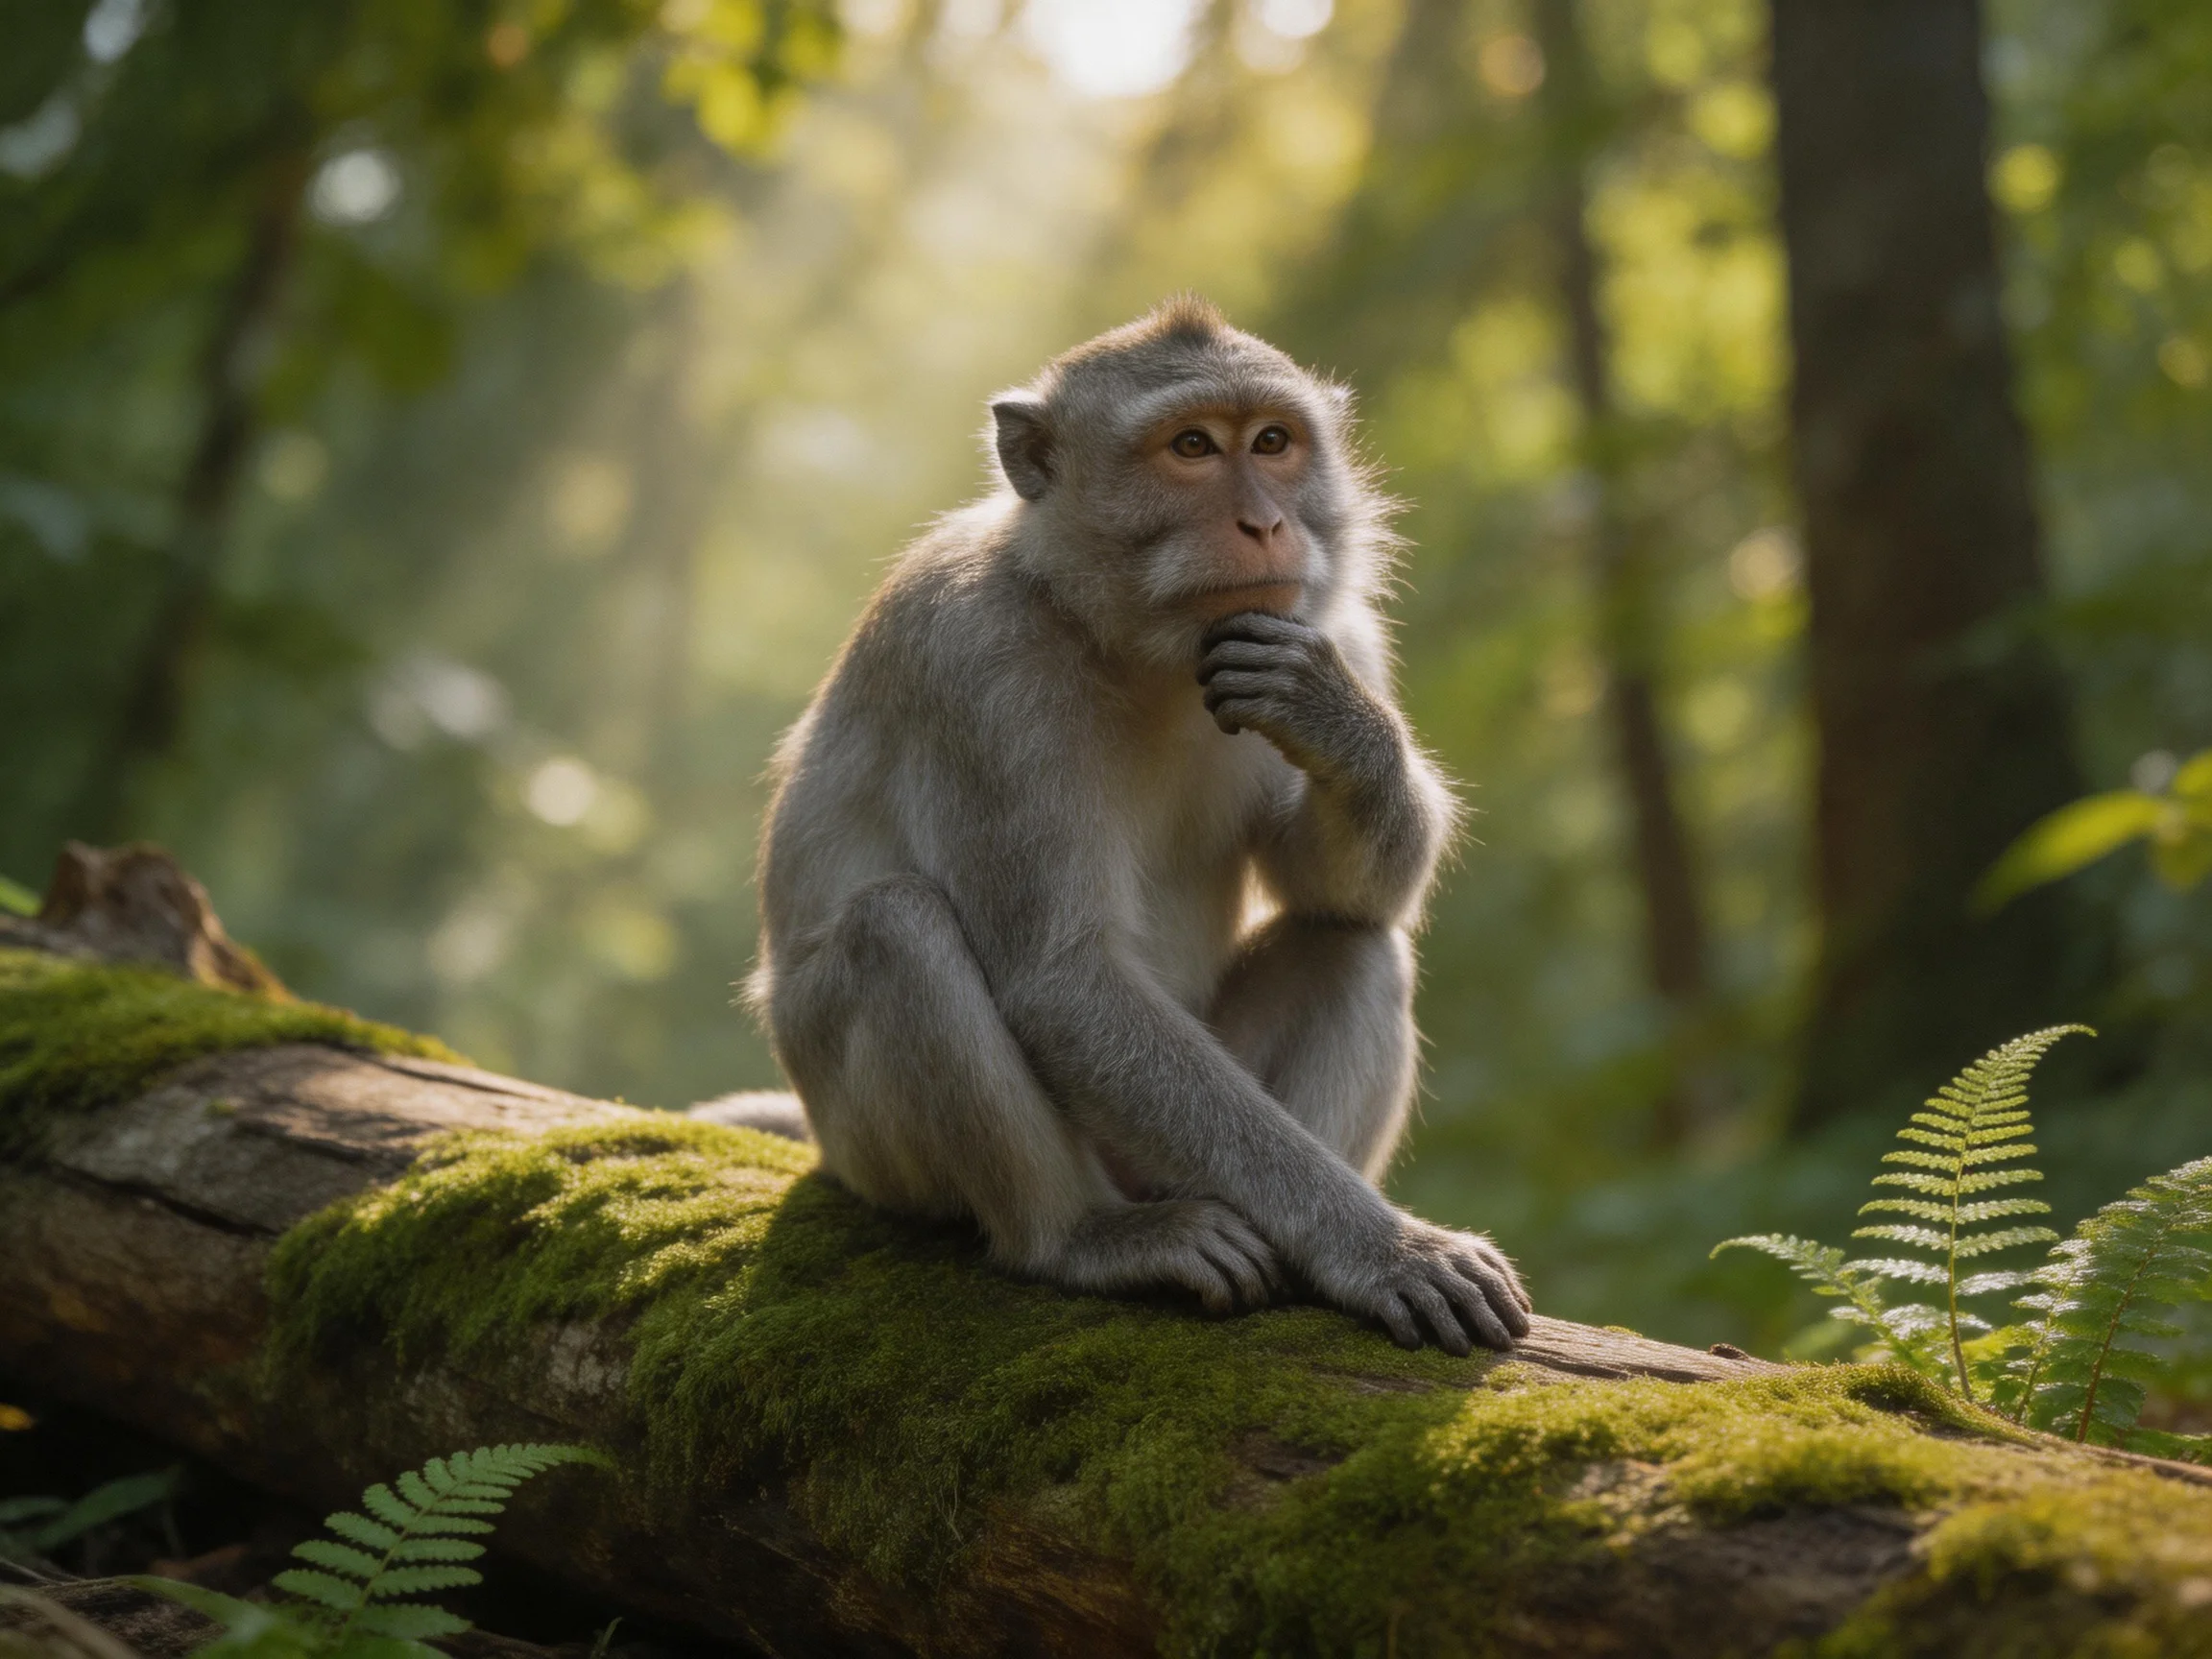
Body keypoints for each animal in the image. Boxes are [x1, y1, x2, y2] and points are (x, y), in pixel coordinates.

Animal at [746, 298, 1530, 1354]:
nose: (1266, 523)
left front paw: (1337, 721)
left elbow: (1339, 891)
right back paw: (1080, 1239)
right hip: (874, 1151)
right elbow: (1062, 978)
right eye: (1192, 447)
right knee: (894, 926)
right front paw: (1384, 1250)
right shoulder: (979, 667)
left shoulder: (1324, 622)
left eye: (1273, 442)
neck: (1129, 640)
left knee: (1354, 942)